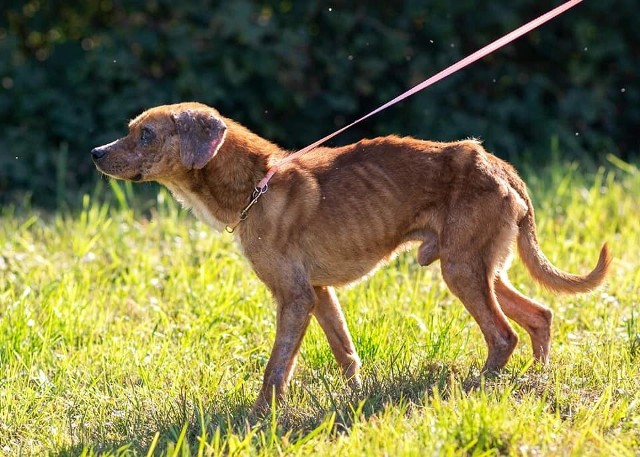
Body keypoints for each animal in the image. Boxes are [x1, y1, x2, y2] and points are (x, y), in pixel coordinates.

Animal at [92, 101, 612, 412]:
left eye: (146, 135)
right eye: (131, 131)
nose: (96, 152)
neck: (257, 185)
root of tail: (498, 165)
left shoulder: (294, 297)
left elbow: (276, 368)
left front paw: (261, 418)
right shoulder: (319, 293)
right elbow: (345, 352)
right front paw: (353, 397)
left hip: (462, 271)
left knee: (504, 334)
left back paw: (474, 389)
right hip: (483, 267)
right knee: (540, 315)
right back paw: (535, 380)